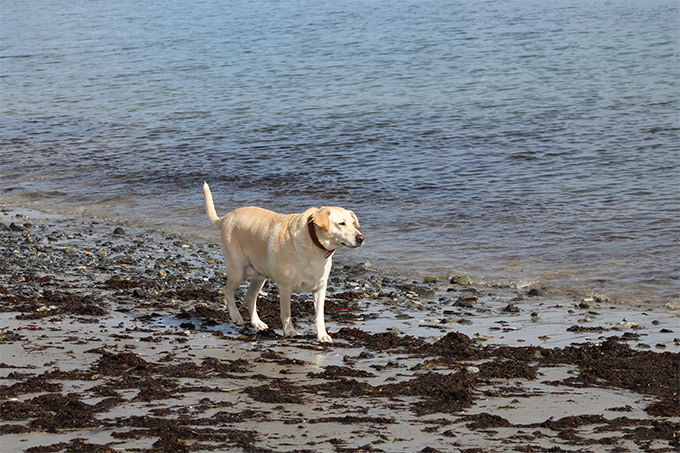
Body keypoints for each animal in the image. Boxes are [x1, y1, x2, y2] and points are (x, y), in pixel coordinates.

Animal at [202, 182, 364, 340]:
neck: (313, 242)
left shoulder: (320, 288)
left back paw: (256, 322)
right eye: (341, 223)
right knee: (227, 291)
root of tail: (226, 217)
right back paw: (236, 316)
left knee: (249, 297)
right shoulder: (285, 287)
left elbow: (319, 316)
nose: (361, 238)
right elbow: (286, 313)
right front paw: (289, 331)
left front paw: (323, 335)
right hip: (238, 271)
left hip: (259, 276)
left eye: (353, 223)